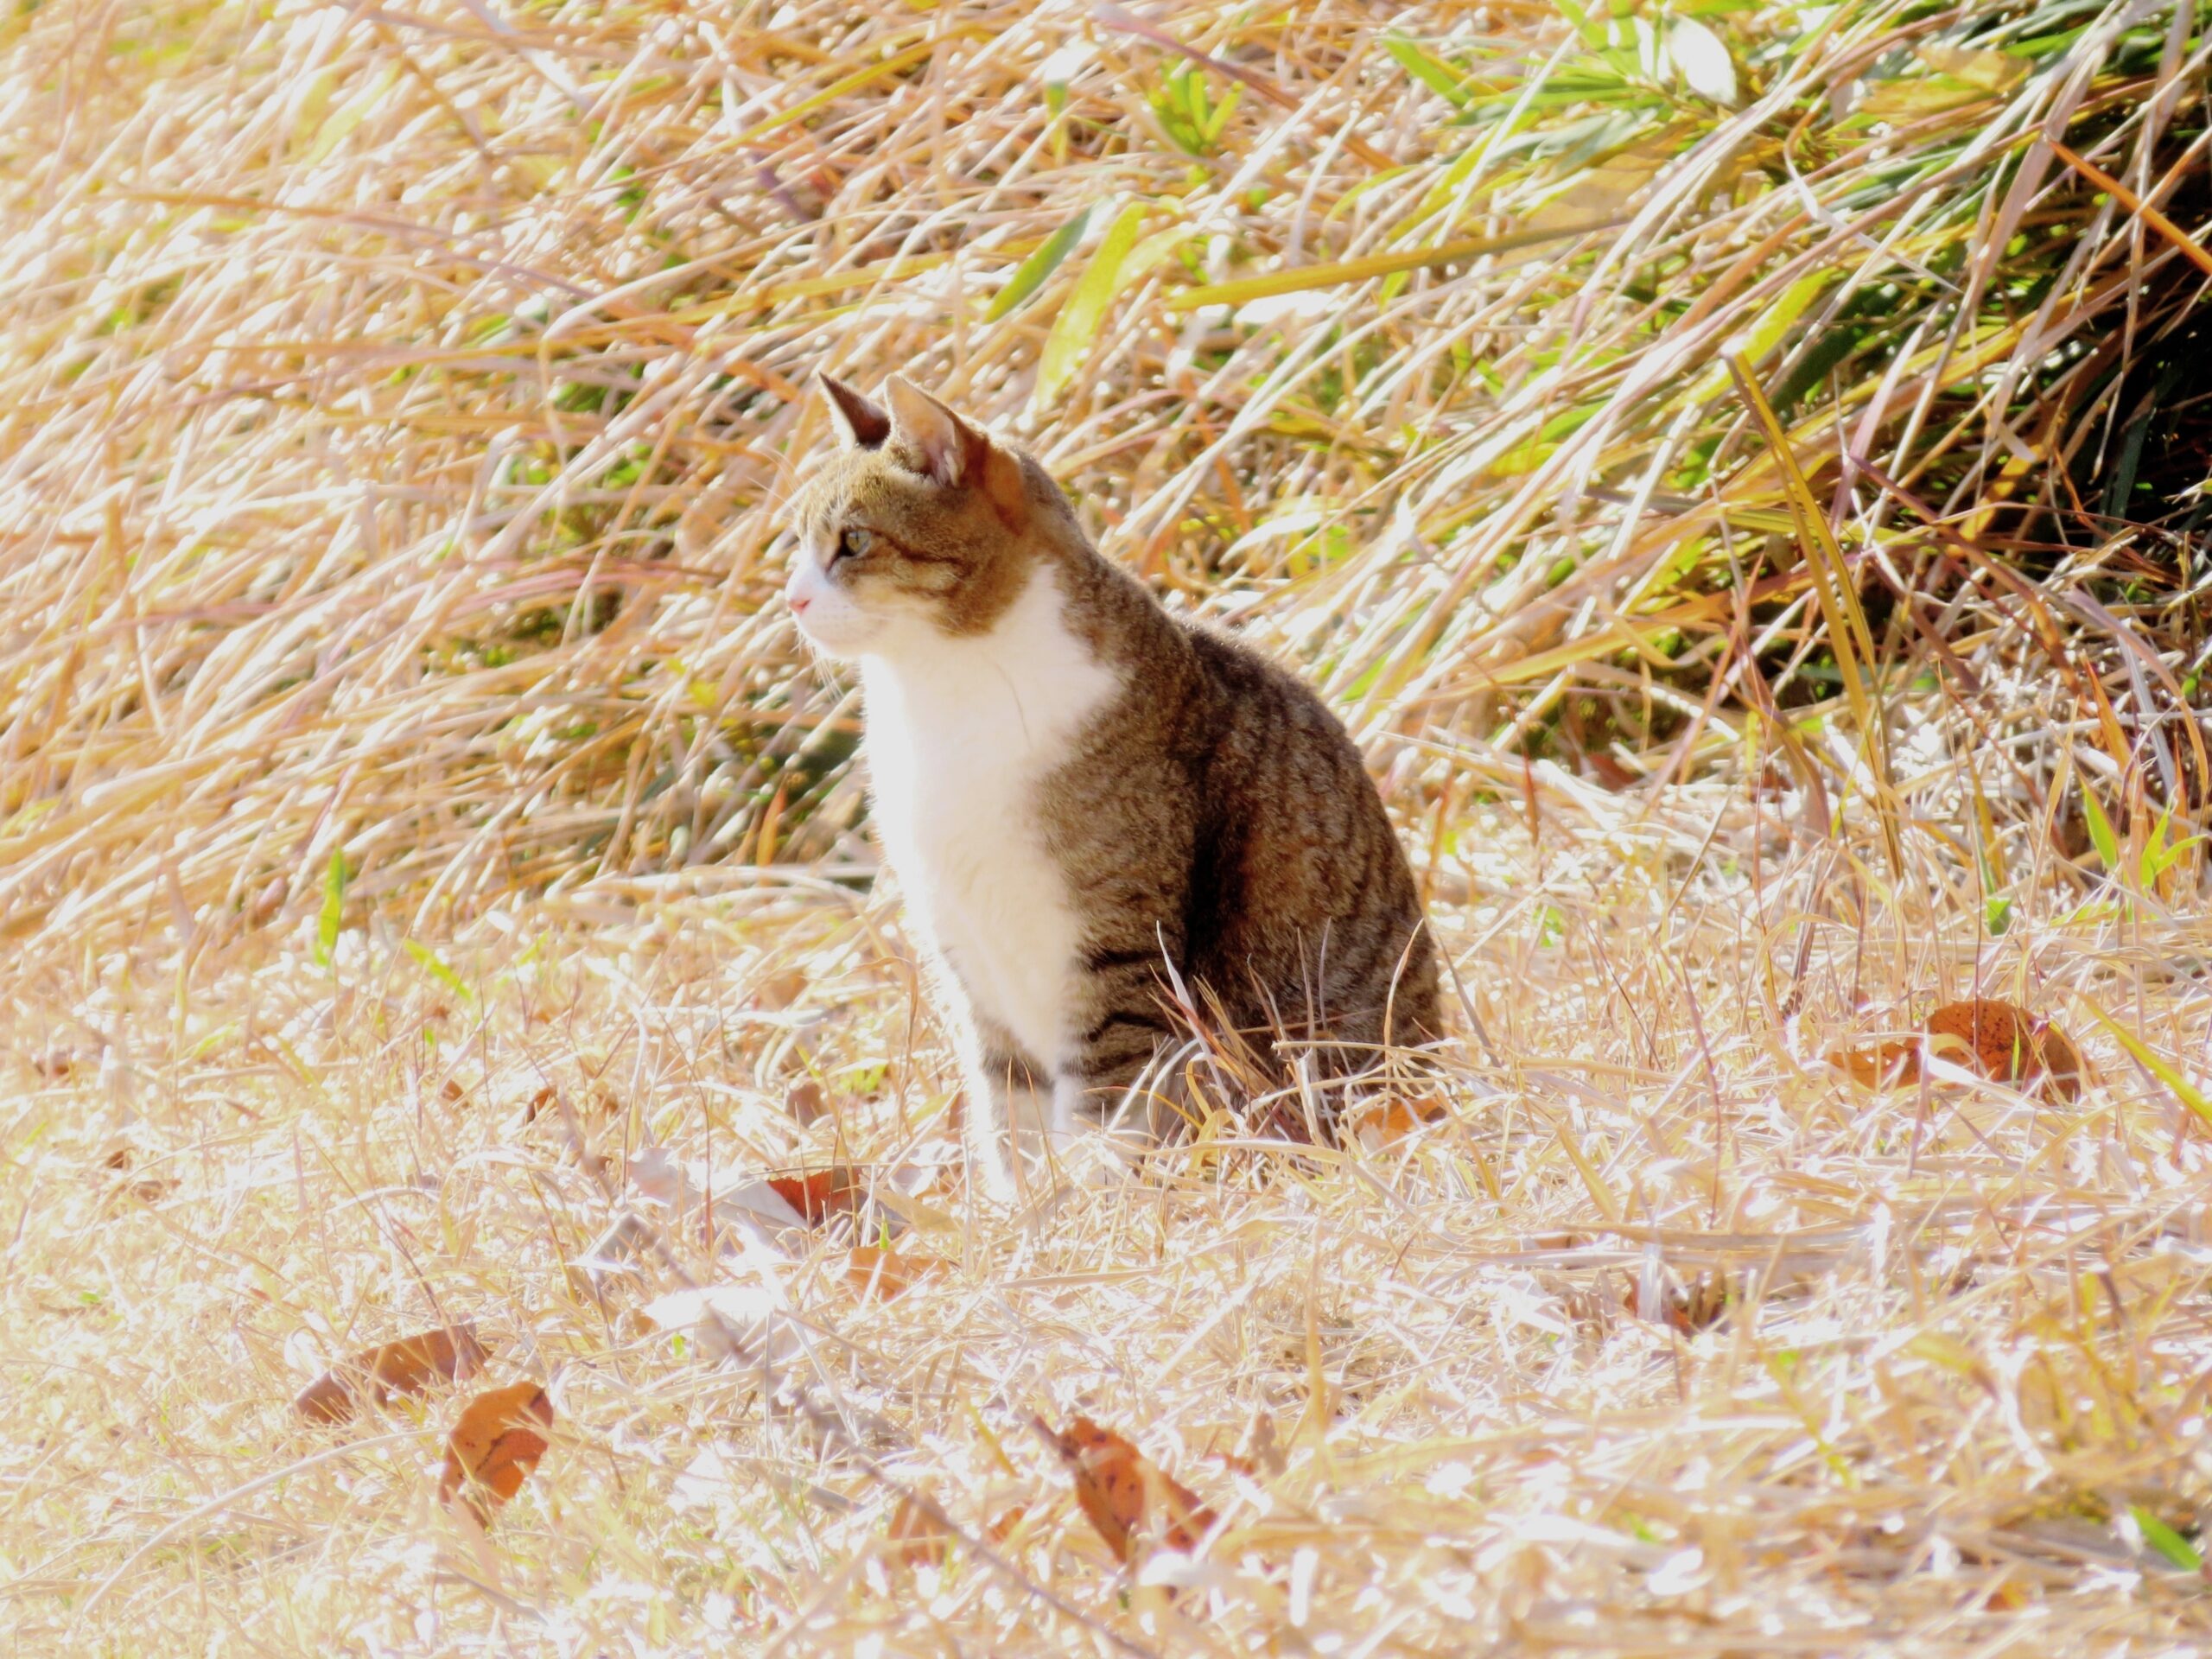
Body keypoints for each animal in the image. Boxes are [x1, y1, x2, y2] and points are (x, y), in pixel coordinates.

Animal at [787, 376, 1442, 1194]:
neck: (940, 693)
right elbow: (1010, 1110)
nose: (792, 599)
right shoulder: (970, 956)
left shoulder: (1116, 952)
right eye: (798, 543)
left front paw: (1098, 1201)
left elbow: (1104, 1104)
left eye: (853, 542)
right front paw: (1025, 1212)